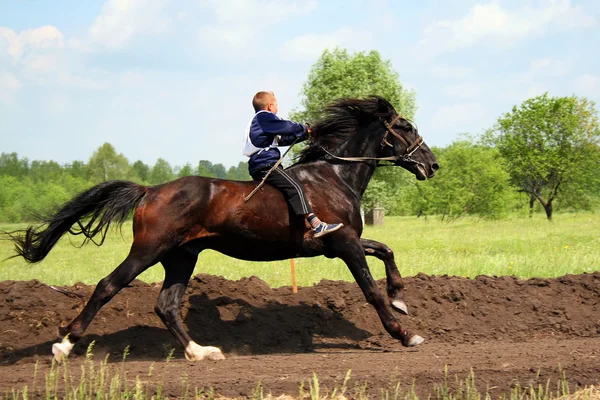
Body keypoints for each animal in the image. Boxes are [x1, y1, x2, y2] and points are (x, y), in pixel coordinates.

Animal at [3, 95, 436, 360]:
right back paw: (64, 345)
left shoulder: (342, 242)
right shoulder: (343, 243)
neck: (333, 176)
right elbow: (370, 291)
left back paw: (200, 352)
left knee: (166, 305)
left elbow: (386, 251)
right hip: (148, 250)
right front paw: (404, 332)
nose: (432, 165)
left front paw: (401, 297)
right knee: (108, 286)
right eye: (407, 127)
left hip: (181, 257)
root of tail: (149, 191)